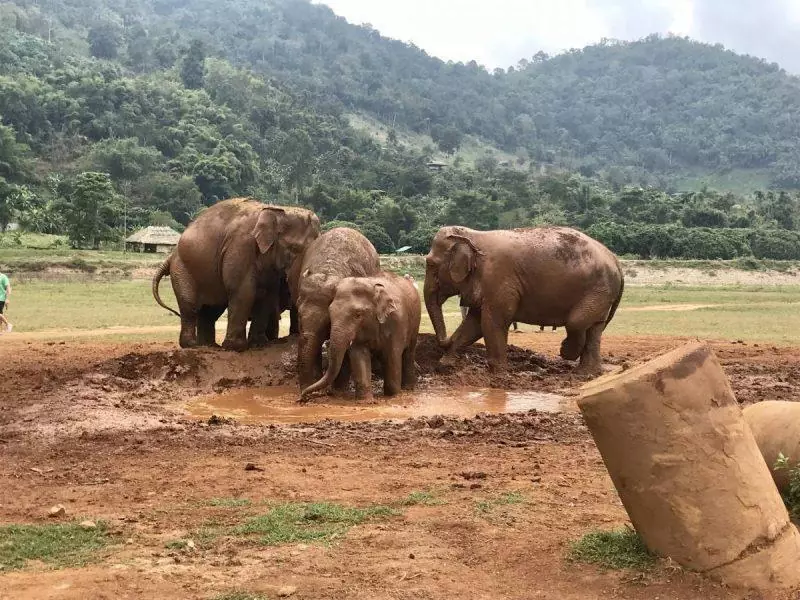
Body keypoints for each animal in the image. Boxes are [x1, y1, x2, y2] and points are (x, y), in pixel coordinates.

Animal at [152, 197, 318, 350]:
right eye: (294, 248)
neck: (278, 209)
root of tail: (171, 256)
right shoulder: (241, 246)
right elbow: (243, 291)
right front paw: (235, 347)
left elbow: (268, 294)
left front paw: (259, 344)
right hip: (182, 269)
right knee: (190, 305)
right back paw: (192, 345)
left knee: (211, 310)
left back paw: (209, 345)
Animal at [300, 274, 422, 404]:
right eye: (330, 313)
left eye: (358, 314)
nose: (303, 397)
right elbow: (359, 353)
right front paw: (366, 401)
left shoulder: (397, 322)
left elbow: (392, 355)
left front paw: (393, 395)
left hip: (415, 323)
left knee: (409, 352)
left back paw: (408, 388)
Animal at [424, 225, 624, 376]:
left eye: (431, 264)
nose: (445, 340)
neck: (473, 236)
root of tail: (616, 260)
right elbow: (474, 324)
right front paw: (445, 365)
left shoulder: (498, 279)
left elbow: (492, 322)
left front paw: (499, 374)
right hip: (602, 293)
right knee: (595, 328)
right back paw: (587, 373)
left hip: (598, 290)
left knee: (577, 322)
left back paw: (566, 353)